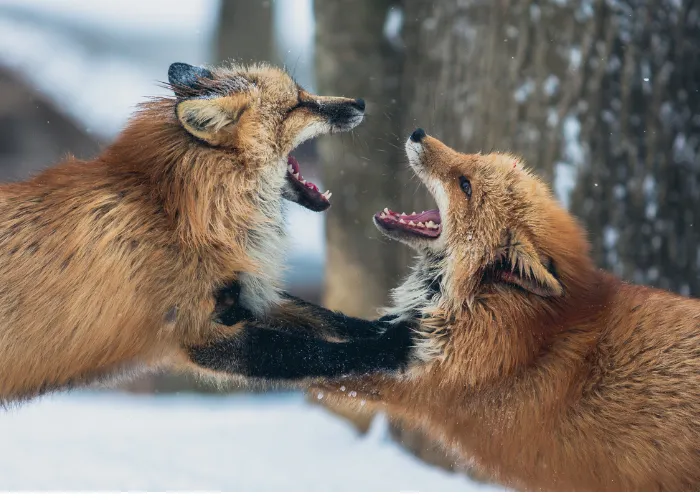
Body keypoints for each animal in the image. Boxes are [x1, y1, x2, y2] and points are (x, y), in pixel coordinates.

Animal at [0, 60, 370, 402]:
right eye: (297, 104)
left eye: (304, 93)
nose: (362, 102)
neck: (177, 214)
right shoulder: (198, 331)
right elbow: (320, 353)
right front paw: (382, 352)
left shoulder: (247, 296)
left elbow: (329, 319)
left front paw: (379, 328)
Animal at [196, 127, 700, 490]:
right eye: (472, 162)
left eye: (465, 184)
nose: (418, 132)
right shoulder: (402, 337)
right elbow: (331, 323)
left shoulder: (417, 386)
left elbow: (305, 360)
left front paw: (221, 349)